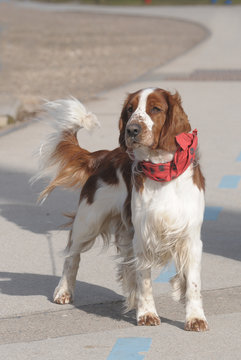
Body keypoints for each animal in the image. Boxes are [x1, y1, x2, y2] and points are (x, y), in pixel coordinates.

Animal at [37, 87, 209, 332]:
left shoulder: (190, 236)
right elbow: (144, 279)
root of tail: (102, 156)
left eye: (155, 108)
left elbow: (192, 282)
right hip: (88, 221)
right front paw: (147, 314)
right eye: (130, 109)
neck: (163, 171)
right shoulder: (143, 235)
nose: (132, 129)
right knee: (72, 256)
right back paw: (63, 291)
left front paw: (195, 317)